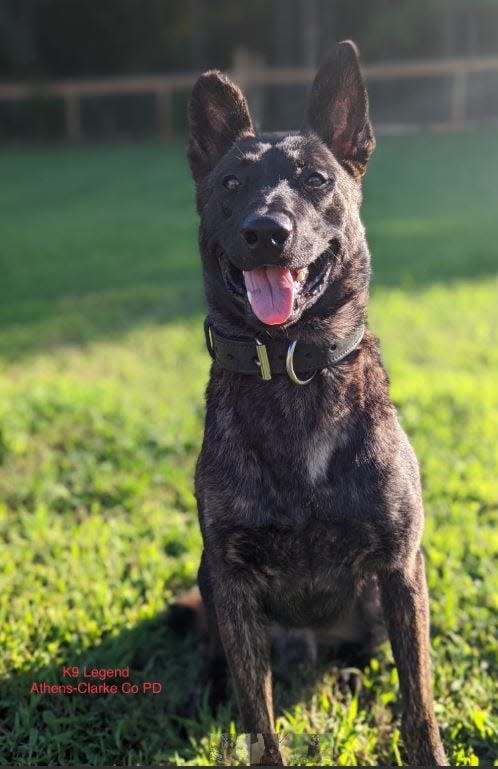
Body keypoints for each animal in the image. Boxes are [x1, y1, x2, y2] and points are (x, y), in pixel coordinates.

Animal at [185, 40, 450, 760]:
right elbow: (259, 715)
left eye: (315, 181)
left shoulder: (401, 568)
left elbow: (419, 701)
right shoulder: (233, 582)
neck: (290, 372)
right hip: (207, 580)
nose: (265, 230)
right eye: (231, 184)